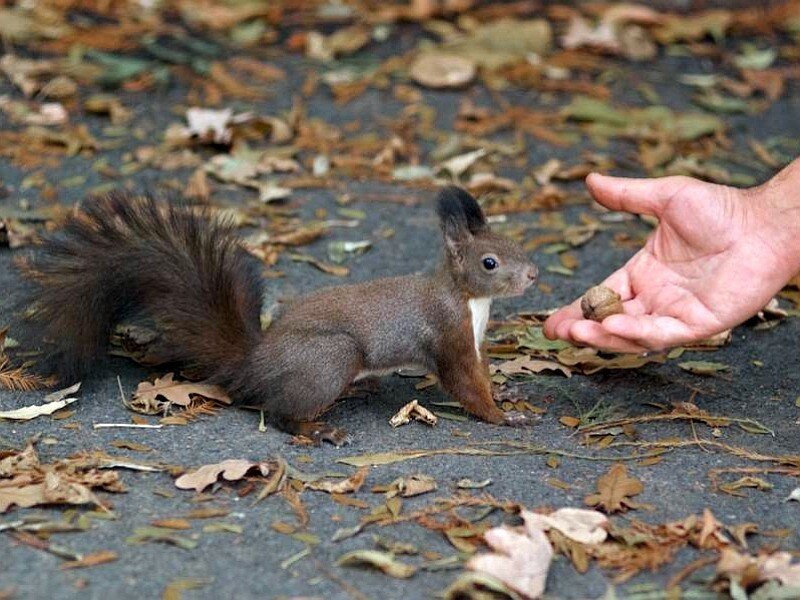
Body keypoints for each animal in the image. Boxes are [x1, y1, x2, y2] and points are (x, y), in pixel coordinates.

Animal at [20, 186, 539, 445]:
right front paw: (503, 417)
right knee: (280, 412)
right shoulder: (448, 333)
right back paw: (317, 429)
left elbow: (482, 375)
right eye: (489, 262)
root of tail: (256, 362)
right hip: (330, 357)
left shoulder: (473, 340)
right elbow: (465, 385)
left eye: (515, 242)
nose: (533, 273)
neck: (468, 299)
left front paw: (507, 392)